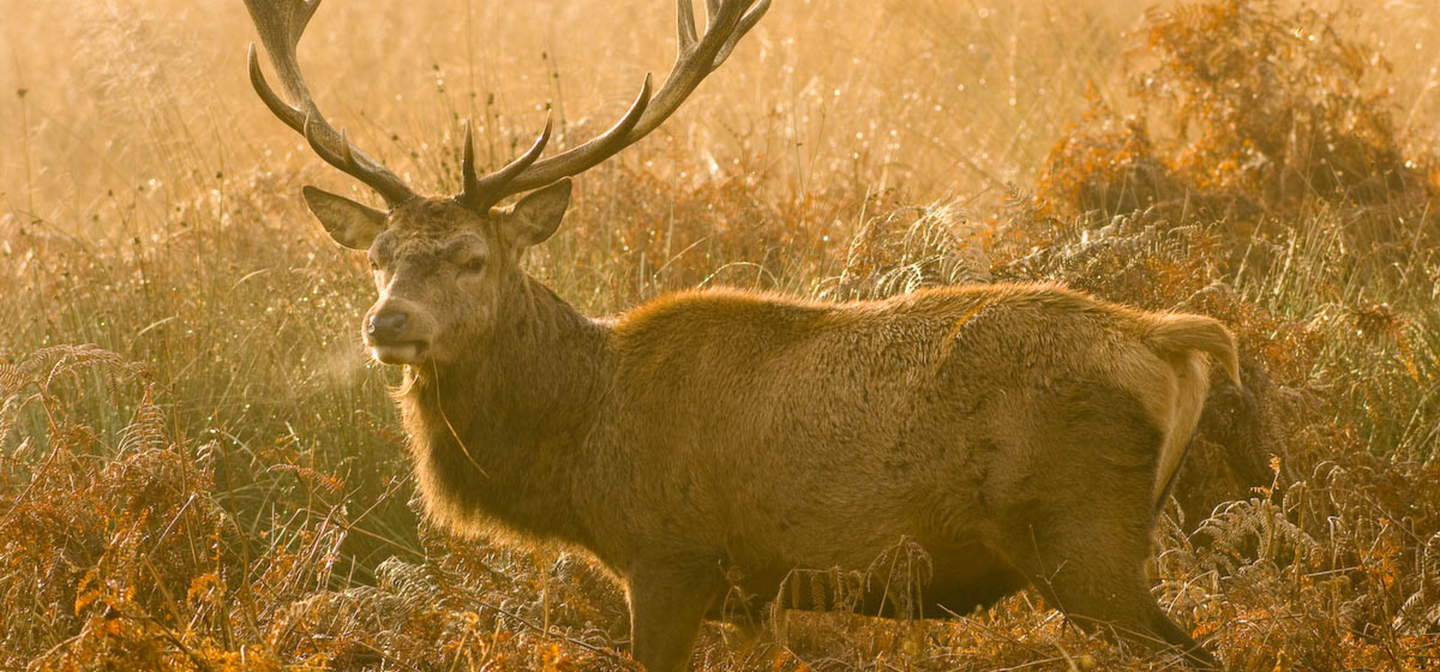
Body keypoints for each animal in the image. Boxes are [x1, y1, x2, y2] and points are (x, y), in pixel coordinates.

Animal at [241, 1, 1232, 672]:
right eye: (377, 257)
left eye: (472, 257)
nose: (388, 324)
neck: (578, 445)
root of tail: (1167, 338)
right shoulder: (755, 597)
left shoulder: (671, 557)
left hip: (1083, 536)